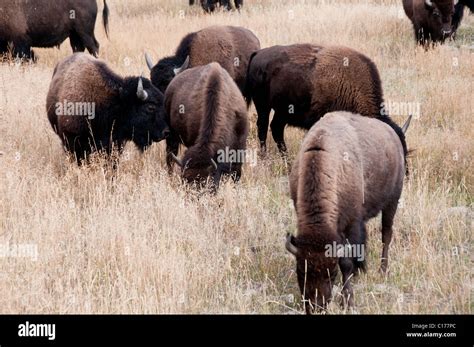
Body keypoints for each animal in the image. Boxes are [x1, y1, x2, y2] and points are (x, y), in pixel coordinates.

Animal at [244, 43, 408, 155]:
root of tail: (257, 53)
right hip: (263, 105)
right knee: (263, 127)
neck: (351, 86)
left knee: (276, 128)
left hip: (282, 111)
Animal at [286, 112, 412, 316]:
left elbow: (346, 262)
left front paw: (348, 301)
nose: (316, 307)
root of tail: (392, 134)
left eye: (332, 273)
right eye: (301, 271)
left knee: (386, 234)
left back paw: (382, 270)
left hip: (392, 201)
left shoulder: (351, 224)